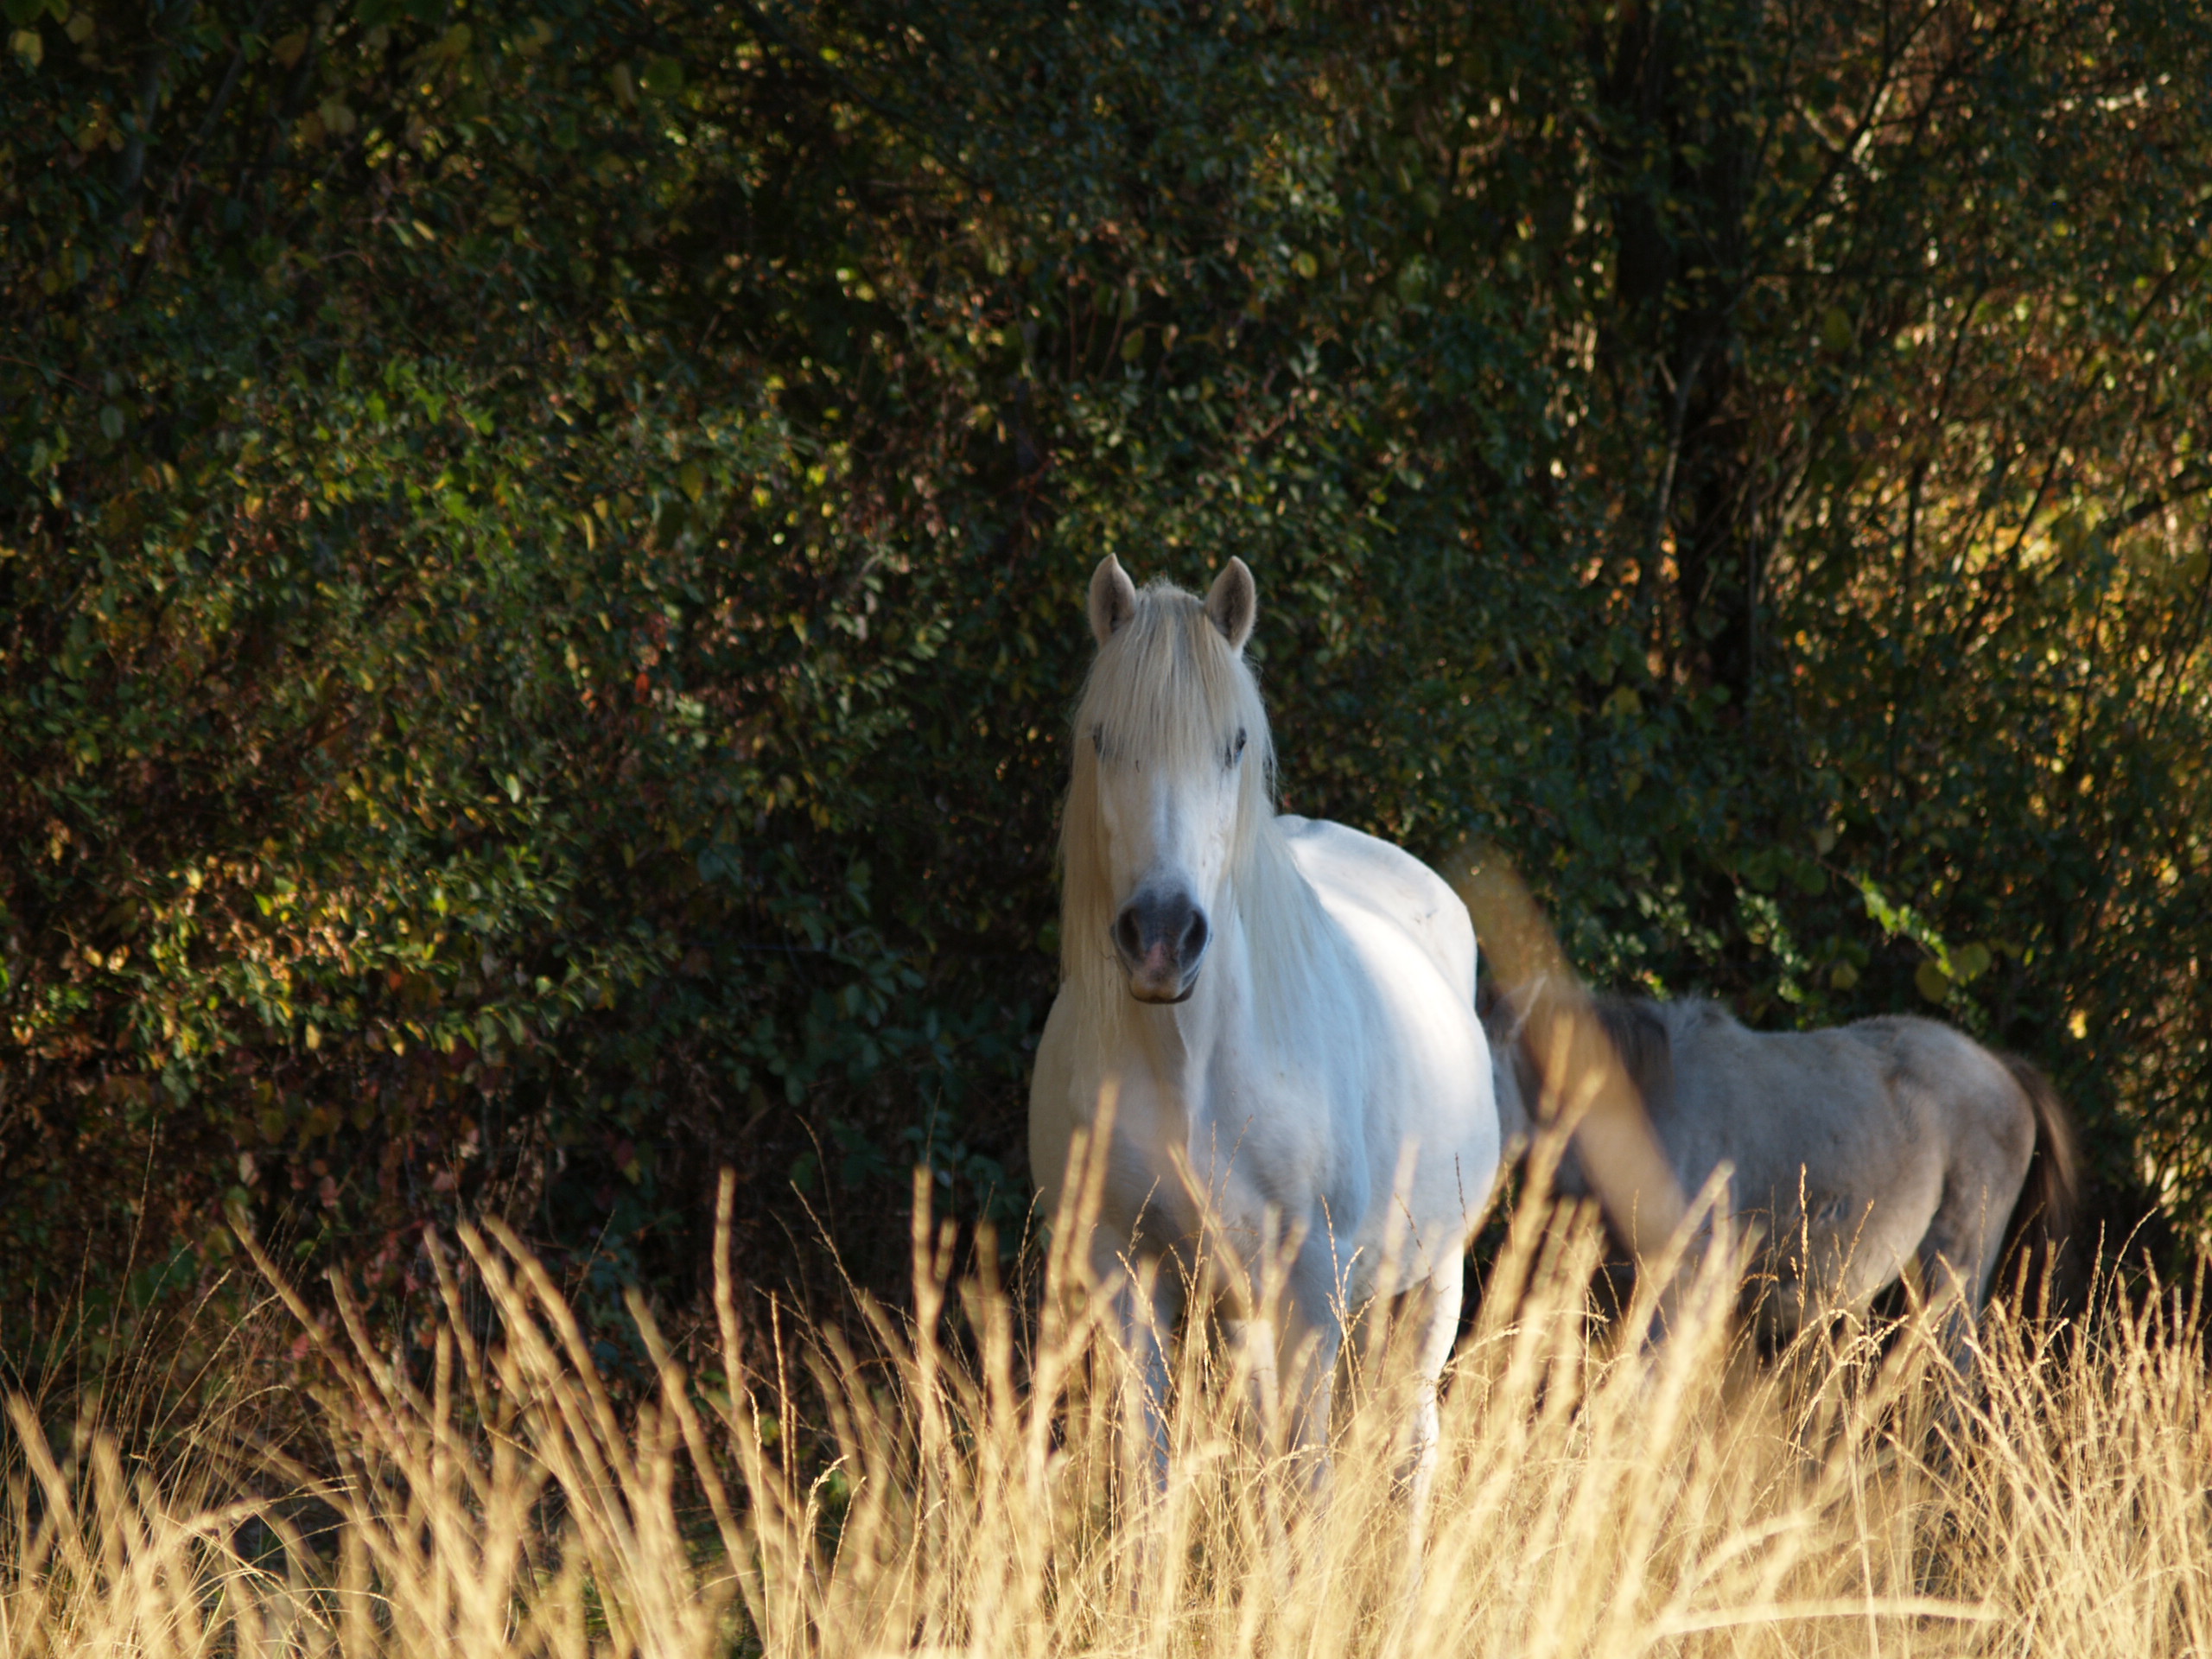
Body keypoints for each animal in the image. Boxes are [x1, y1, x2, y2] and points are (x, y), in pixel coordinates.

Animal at [1026, 562, 1495, 1503]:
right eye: (1101, 737)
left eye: (1235, 743)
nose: (1161, 937)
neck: (1188, 1064)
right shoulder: (1125, 1273)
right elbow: (1154, 1477)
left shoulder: (1312, 1282)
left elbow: (1308, 1480)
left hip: (1431, 1279)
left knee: (1413, 1443)